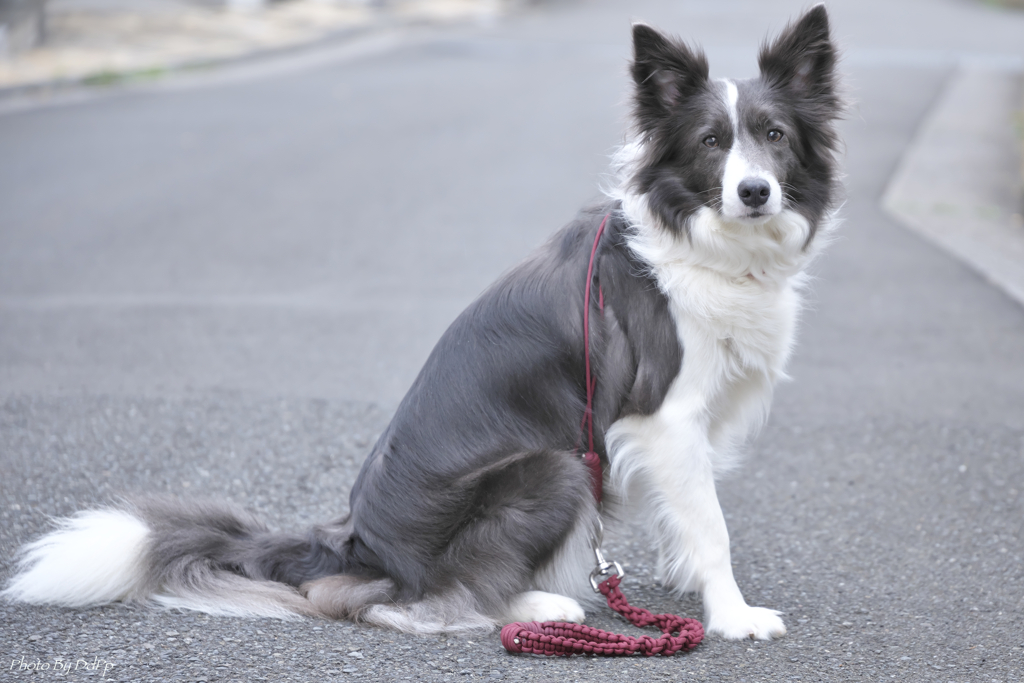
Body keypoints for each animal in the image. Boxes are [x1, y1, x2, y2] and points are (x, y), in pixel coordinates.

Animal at [2, 5, 839, 643]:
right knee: (412, 602)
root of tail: (354, 544)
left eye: (774, 136)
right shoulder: (663, 412)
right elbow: (713, 524)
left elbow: (685, 514)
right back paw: (541, 601)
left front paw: (685, 581)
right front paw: (733, 614)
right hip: (557, 464)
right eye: (710, 143)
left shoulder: (680, 428)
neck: (700, 240)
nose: (755, 192)